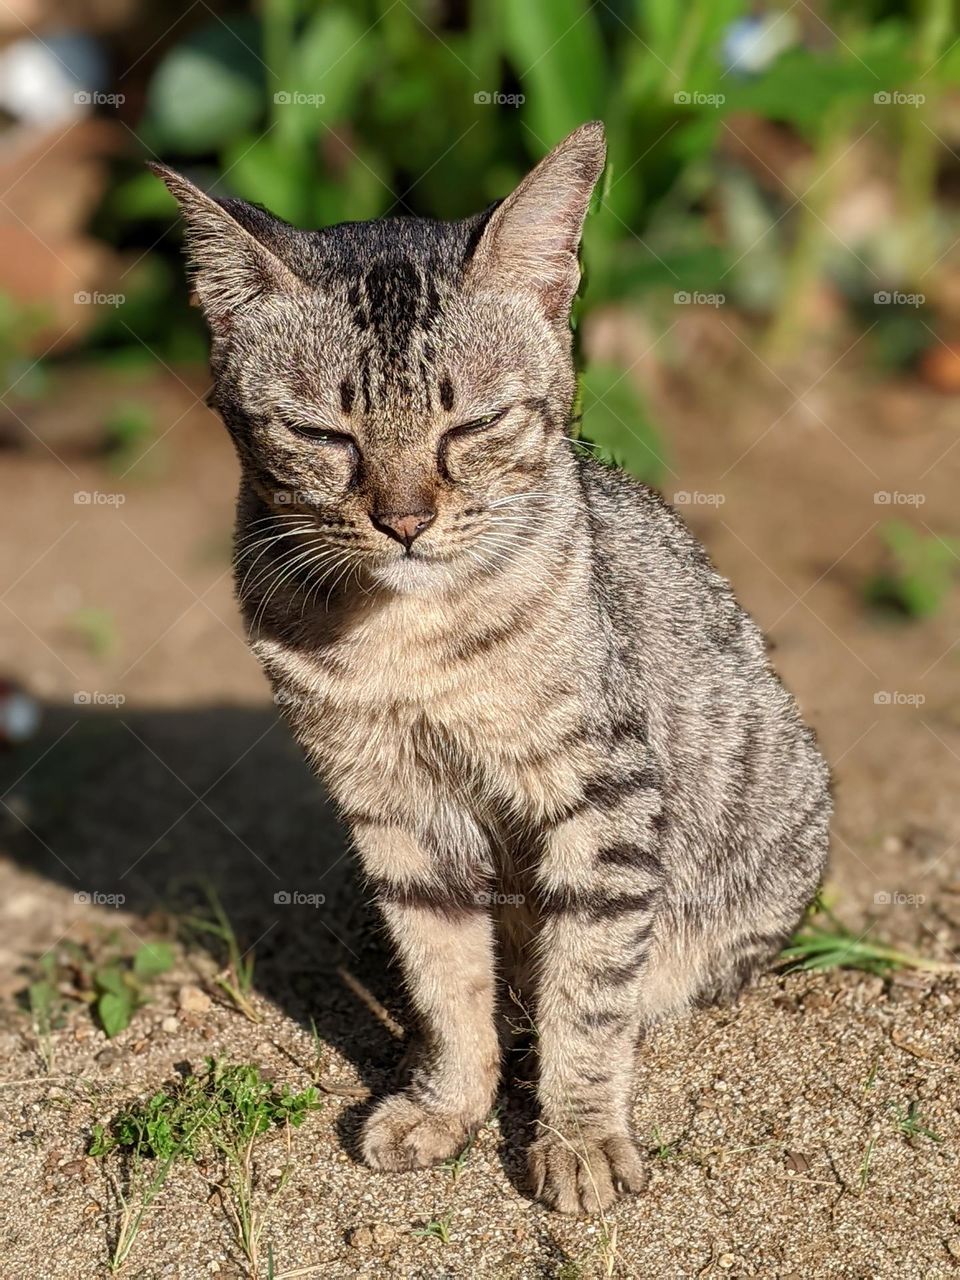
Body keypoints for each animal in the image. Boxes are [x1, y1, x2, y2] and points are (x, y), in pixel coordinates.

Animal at [152, 124, 834, 1213]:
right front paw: (449, 1102)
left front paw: (580, 1133)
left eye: (468, 426)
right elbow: (443, 977)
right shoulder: (392, 804)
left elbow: (587, 989)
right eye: (324, 435)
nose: (403, 518)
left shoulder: (600, 792)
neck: (405, 642)